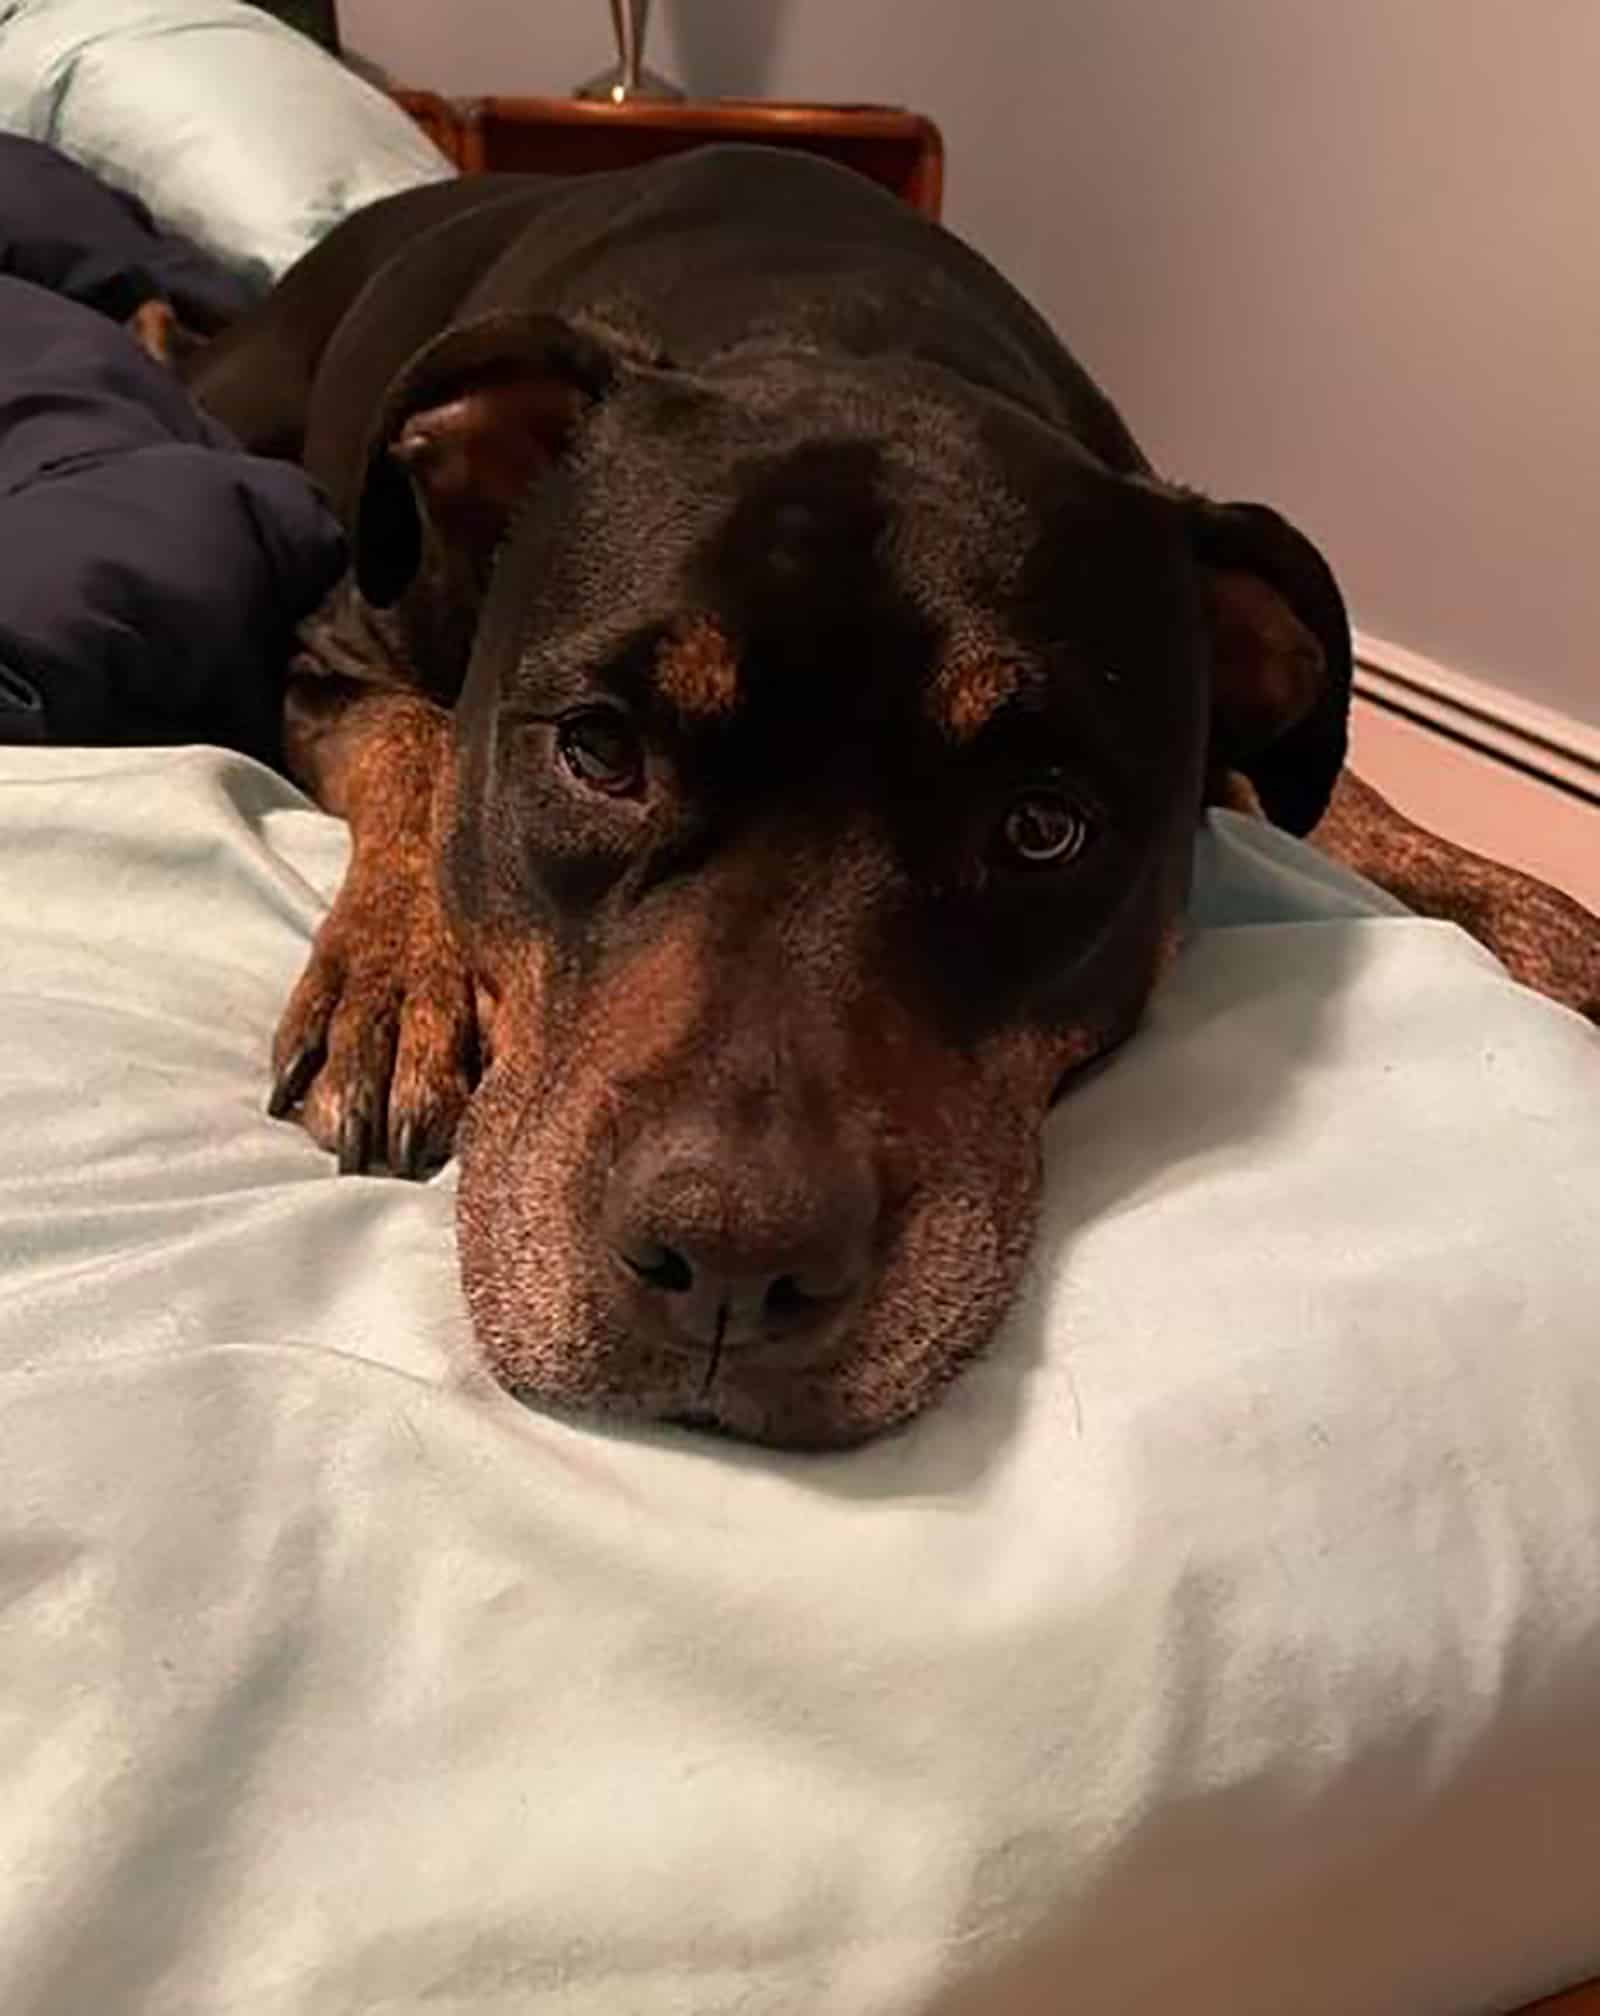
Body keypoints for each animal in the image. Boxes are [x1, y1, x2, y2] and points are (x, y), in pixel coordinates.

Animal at [193, 153, 1354, 1451]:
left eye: (1041, 828)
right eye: (599, 751)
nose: (729, 1264)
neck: (842, 325)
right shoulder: (328, 652)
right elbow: (416, 744)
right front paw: (398, 984)